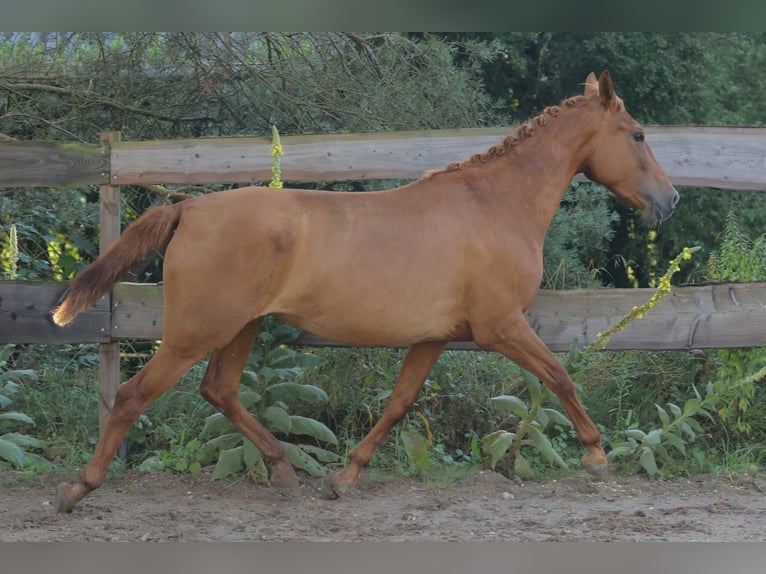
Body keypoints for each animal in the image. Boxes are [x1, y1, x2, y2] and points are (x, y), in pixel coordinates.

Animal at [54, 70, 680, 516]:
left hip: (241, 327)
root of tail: (188, 208)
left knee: (220, 391)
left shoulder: (434, 338)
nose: (670, 200)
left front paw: (343, 478)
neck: (495, 205)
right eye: (639, 134)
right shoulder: (500, 326)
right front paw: (597, 457)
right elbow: (559, 375)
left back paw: (285, 470)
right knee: (132, 395)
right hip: (196, 332)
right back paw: (78, 489)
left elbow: (399, 404)